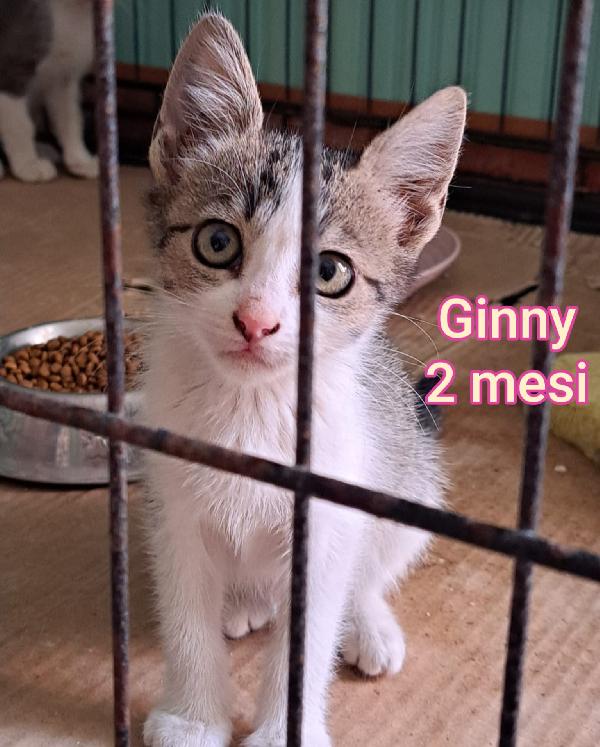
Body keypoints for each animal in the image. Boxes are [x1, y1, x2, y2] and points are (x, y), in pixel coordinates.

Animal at [0, 0, 98, 182]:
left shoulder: (64, 78)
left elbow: (70, 119)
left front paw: (80, 160)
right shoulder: (10, 68)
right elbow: (20, 124)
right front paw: (29, 165)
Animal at [142, 13, 465, 747]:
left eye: (329, 272)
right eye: (217, 242)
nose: (256, 320)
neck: (253, 408)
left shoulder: (327, 518)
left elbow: (311, 631)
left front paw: (279, 729)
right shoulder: (174, 506)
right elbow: (186, 613)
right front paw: (192, 717)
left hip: (407, 479)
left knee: (367, 570)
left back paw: (369, 624)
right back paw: (242, 603)